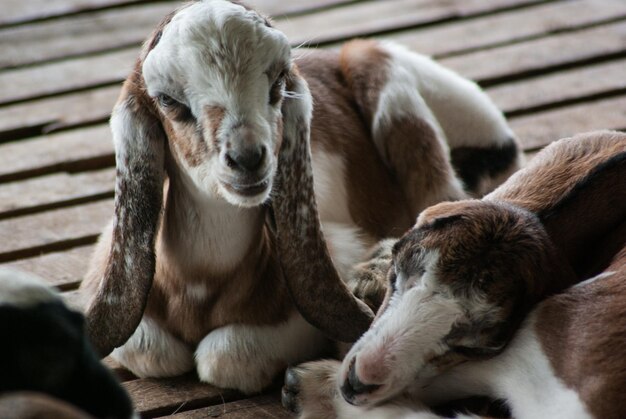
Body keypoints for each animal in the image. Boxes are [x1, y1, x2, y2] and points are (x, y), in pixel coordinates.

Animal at [80, 0, 520, 396]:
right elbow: (149, 348)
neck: (203, 281)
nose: (248, 159)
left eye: (277, 83)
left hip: (389, 86)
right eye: (168, 100)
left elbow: (226, 356)